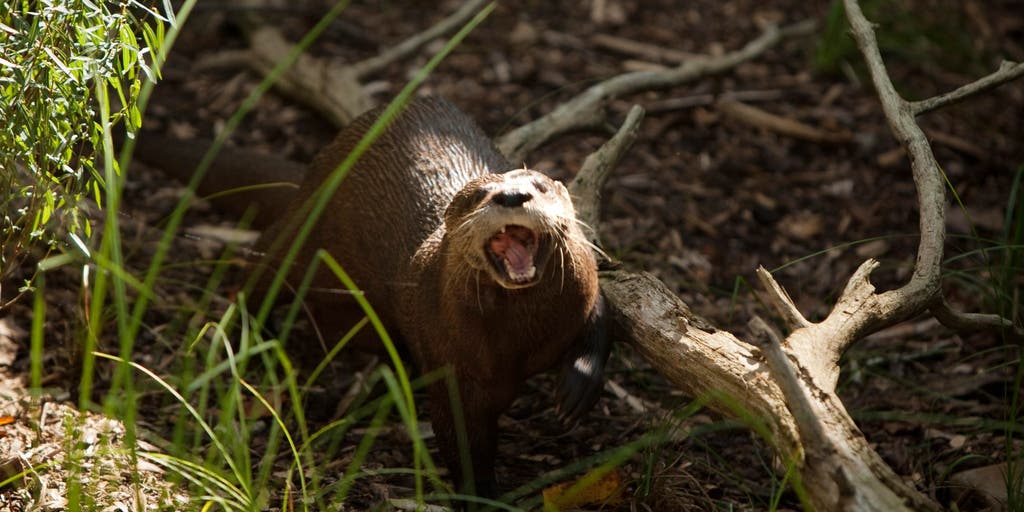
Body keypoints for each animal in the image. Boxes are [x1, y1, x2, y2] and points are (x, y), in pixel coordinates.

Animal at [133, 97, 610, 497]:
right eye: (479, 195)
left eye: (538, 185)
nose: (512, 195)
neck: (519, 341)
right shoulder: (456, 368)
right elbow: (461, 441)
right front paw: (483, 497)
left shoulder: (586, 291)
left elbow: (601, 322)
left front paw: (577, 389)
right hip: (302, 231)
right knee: (258, 272)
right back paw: (246, 335)